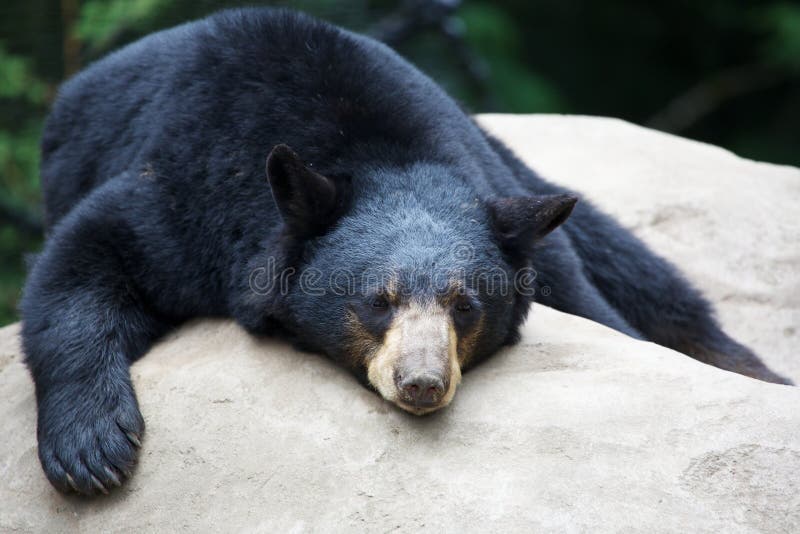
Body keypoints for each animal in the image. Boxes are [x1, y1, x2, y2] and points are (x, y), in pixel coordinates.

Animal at [21, 7, 790, 496]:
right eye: (376, 300)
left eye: (465, 304)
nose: (422, 382)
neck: (373, 148)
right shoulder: (186, 187)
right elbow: (85, 256)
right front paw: (92, 450)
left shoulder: (505, 203)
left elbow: (604, 316)